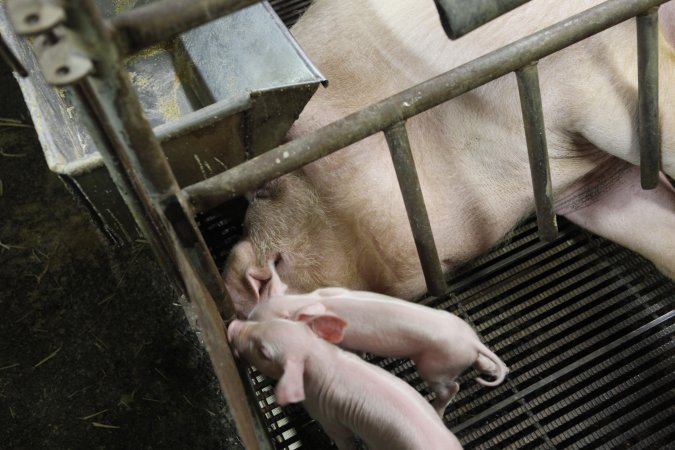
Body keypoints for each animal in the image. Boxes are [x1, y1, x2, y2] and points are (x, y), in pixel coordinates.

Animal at [227, 318, 464, 448]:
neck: (317, 355)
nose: (233, 326)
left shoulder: (327, 417)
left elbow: (342, 438)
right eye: (272, 322)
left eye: (263, 352)